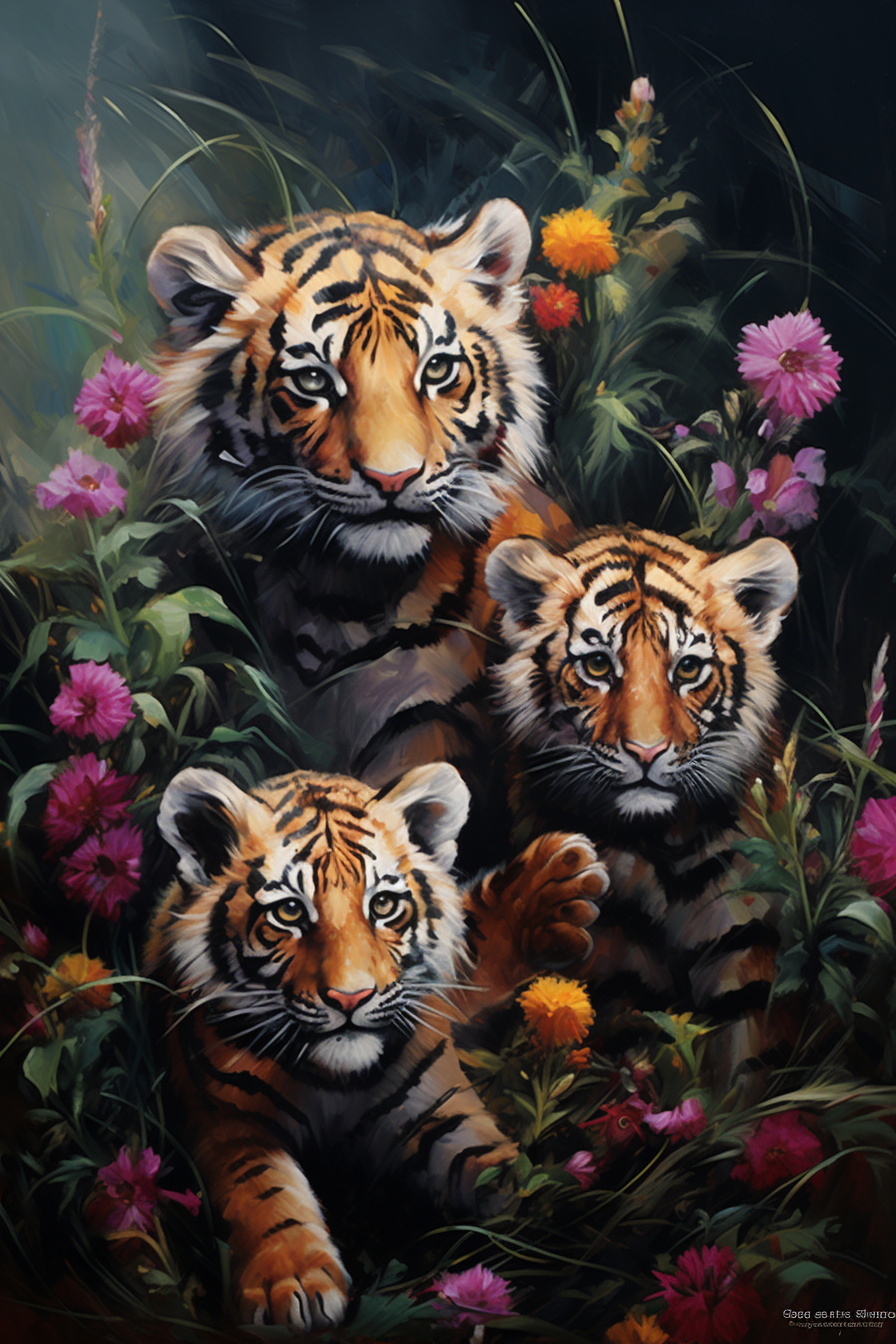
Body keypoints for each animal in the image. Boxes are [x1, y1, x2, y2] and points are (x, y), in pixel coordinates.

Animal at [144, 761, 606, 1331]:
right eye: (289, 913)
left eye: (383, 905)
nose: (351, 997)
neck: (333, 1079)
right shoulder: (226, 1122)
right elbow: (261, 1191)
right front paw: (293, 1281)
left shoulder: (436, 1107)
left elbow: (498, 1168)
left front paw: (544, 1202)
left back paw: (556, 885)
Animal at [483, 524, 800, 1084]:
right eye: (597, 665)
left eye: (689, 669)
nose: (647, 752)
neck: (662, 842)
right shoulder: (611, 956)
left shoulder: (745, 928)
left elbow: (747, 1054)